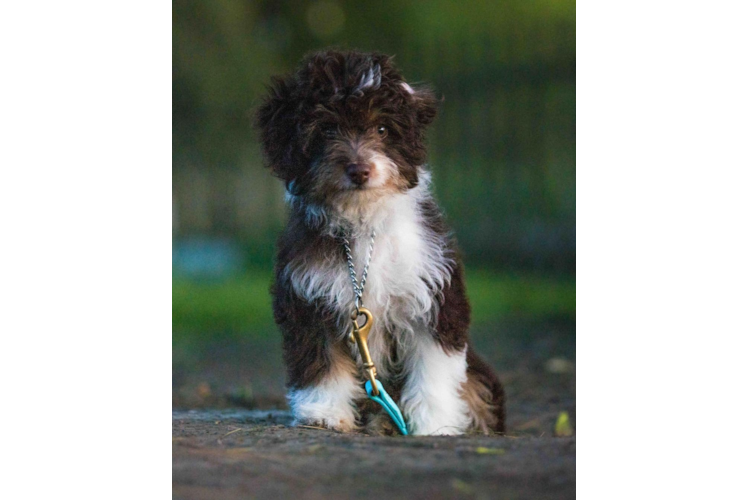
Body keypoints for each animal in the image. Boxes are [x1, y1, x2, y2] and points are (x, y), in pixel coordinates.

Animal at [254, 48, 506, 436]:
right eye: (326, 129)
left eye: (382, 129)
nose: (359, 170)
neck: (362, 222)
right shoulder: (309, 298)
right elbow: (322, 360)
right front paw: (325, 413)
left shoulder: (433, 299)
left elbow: (432, 368)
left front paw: (434, 424)